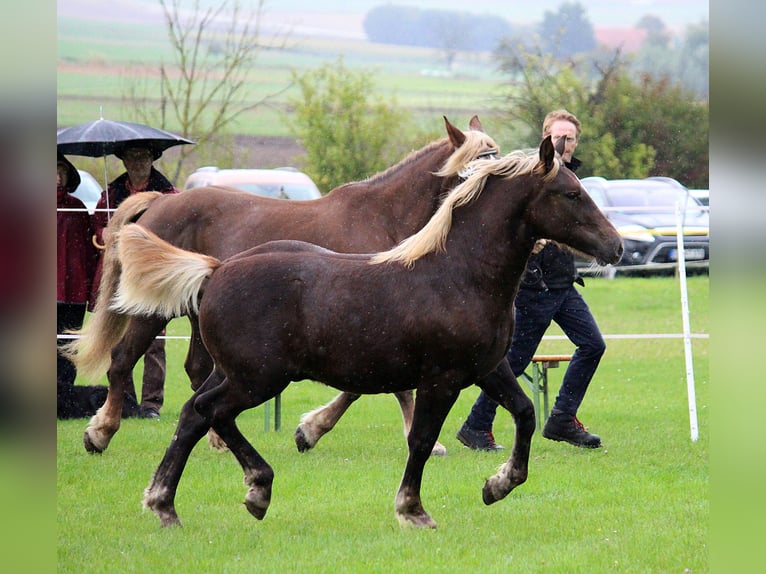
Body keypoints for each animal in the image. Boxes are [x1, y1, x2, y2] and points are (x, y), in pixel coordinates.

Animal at [66, 116, 499, 456]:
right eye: (475, 168)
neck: (383, 218)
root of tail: (158, 202)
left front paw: (311, 429)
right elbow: (388, 388)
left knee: (198, 371)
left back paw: (216, 438)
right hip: (154, 310)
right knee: (123, 359)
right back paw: (100, 433)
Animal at [107, 136, 624, 529]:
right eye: (570, 194)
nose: (616, 247)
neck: (457, 273)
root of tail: (215, 271)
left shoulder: (487, 368)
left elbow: (524, 413)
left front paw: (497, 485)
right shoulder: (440, 380)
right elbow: (421, 439)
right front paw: (412, 510)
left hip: (232, 372)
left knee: (192, 415)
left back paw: (166, 503)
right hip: (257, 379)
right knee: (209, 411)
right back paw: (253, 488)